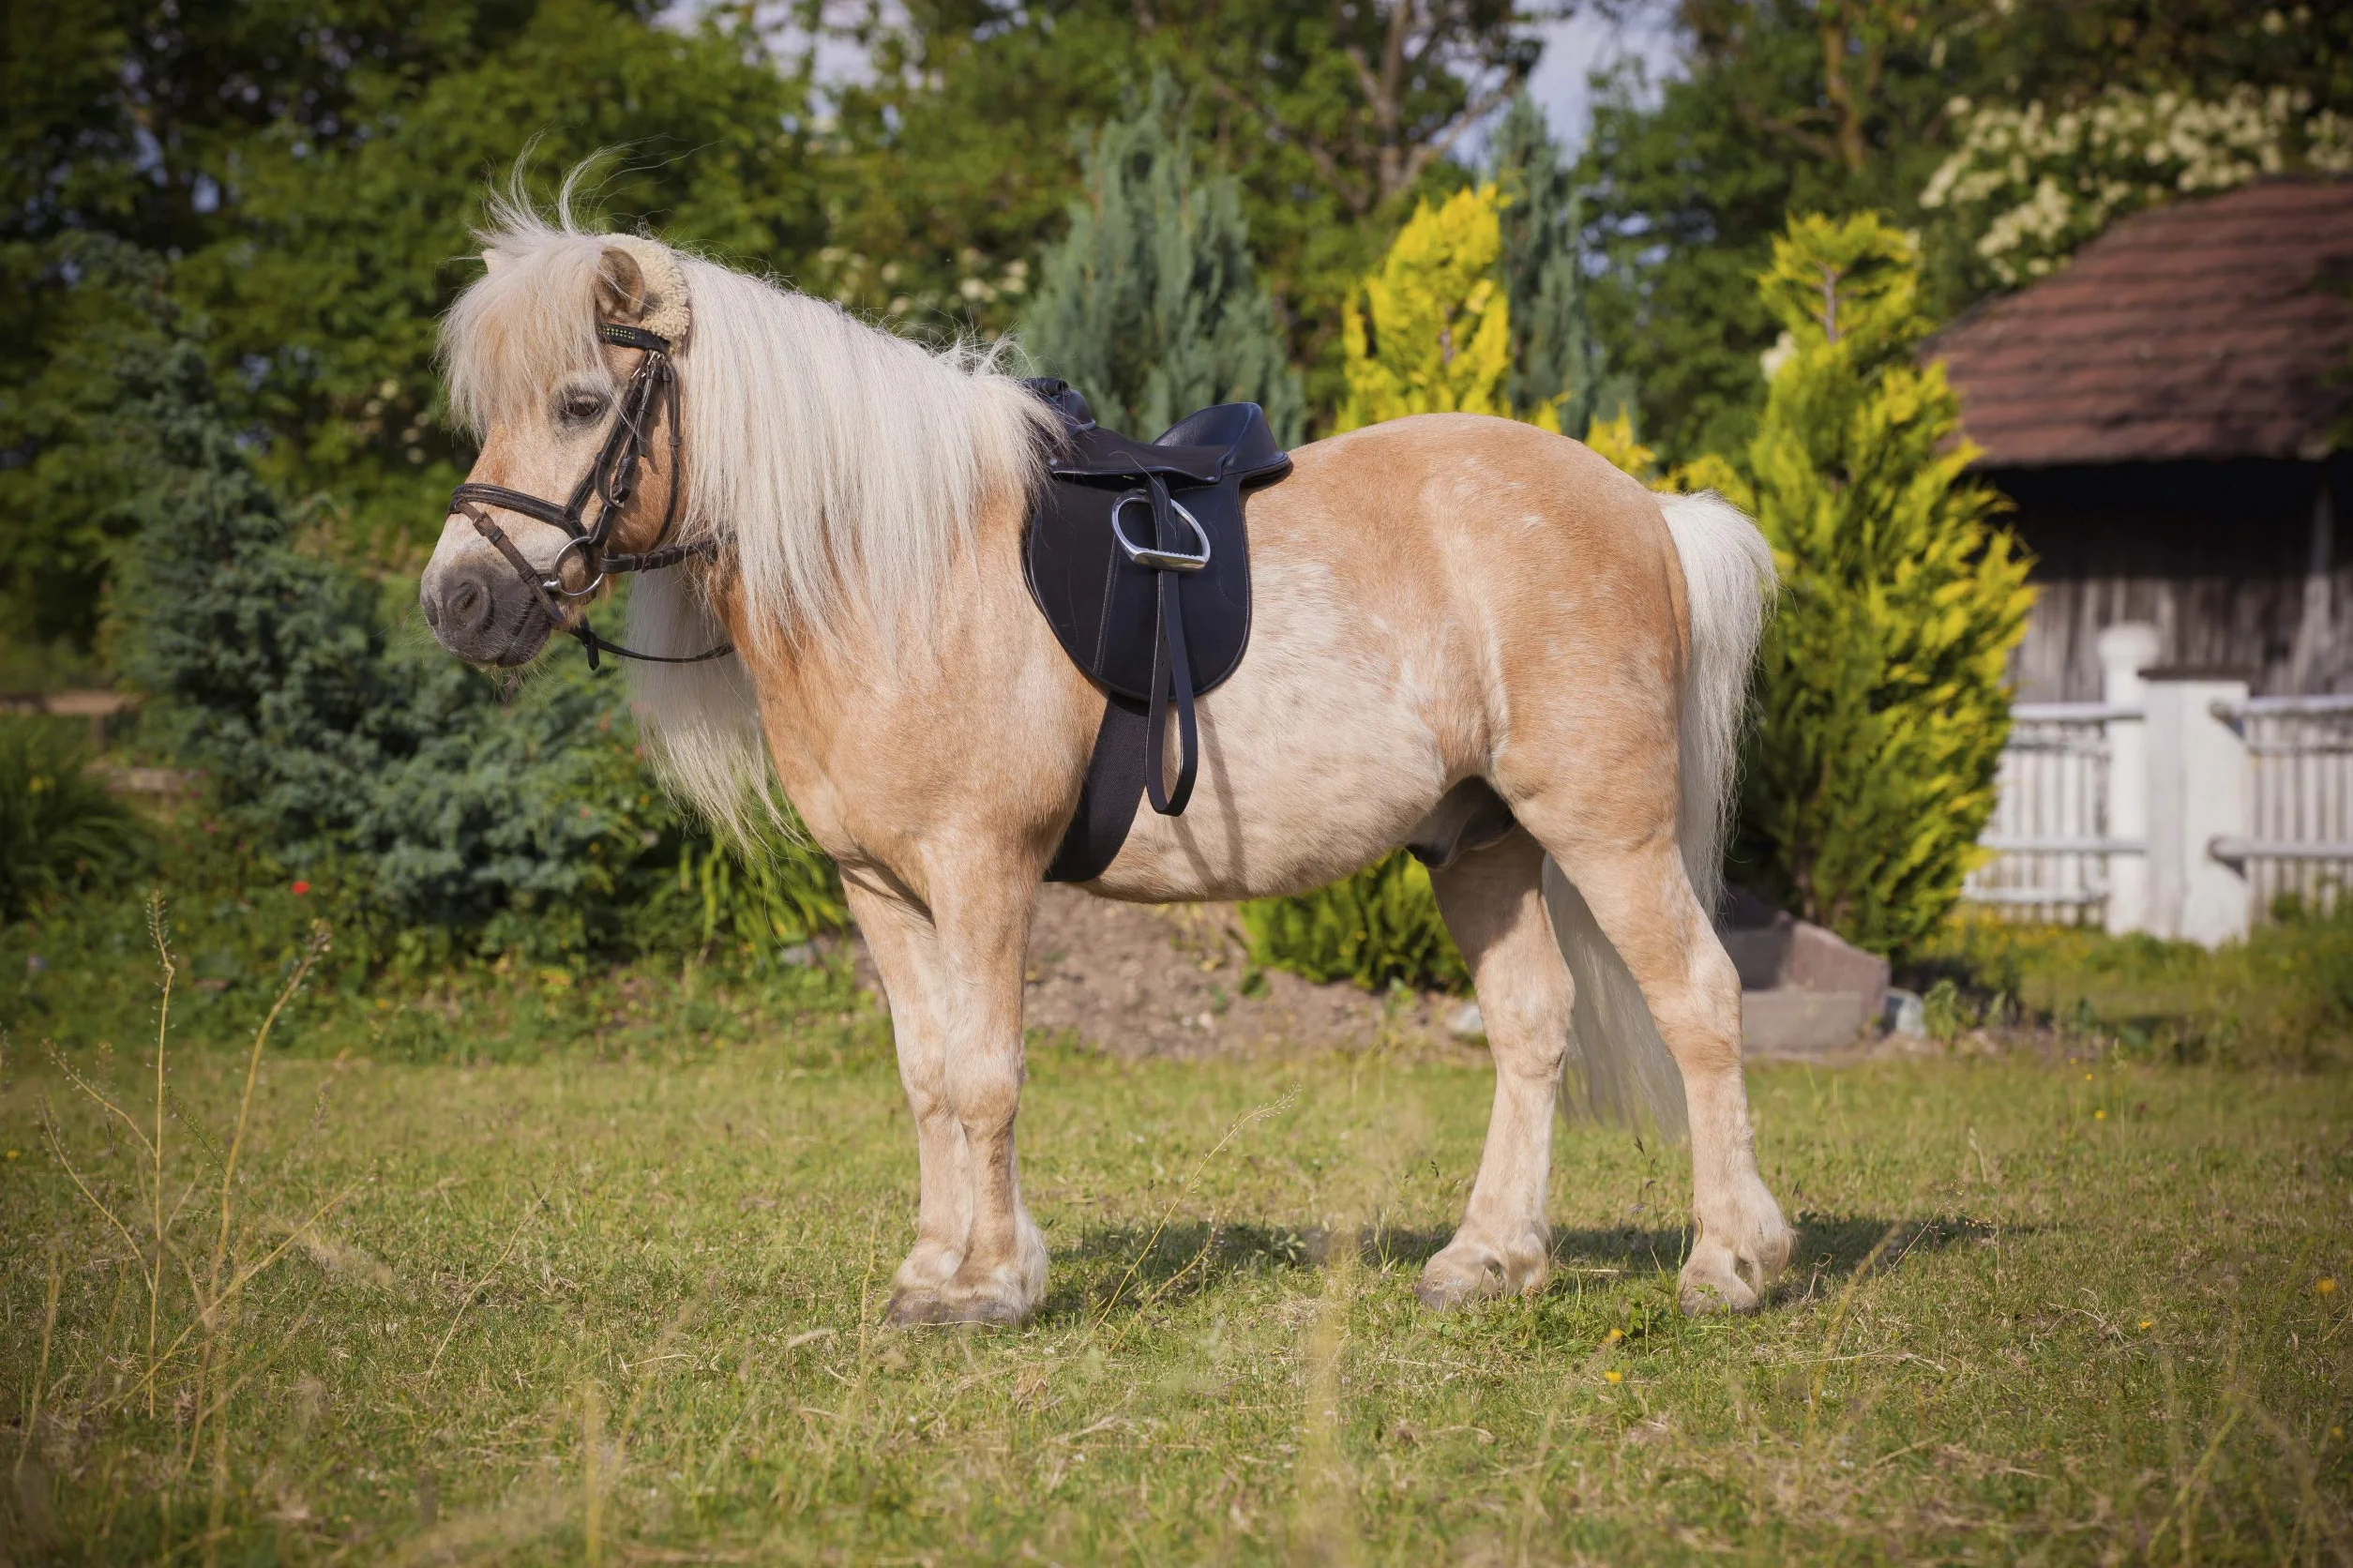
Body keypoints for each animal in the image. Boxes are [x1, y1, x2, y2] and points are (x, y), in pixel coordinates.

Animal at [418, 195, 1793, 1326]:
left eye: (581, 403)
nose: (460, 602)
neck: (899, 570)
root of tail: (1647, 509)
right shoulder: (880, 887)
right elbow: (926, 1074)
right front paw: (935, 1268)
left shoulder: (981, 871)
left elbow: (984, 1074)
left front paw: (987, 1286)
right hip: (1480, 840)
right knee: (1530, 1026)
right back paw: (1489, 1260)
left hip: (1604, 828)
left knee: (1700, 1000)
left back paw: (1729, 1262)